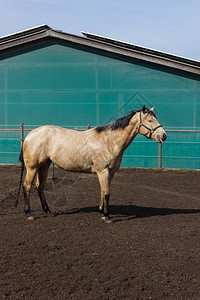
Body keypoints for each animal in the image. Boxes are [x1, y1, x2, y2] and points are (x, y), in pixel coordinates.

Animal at [14, 105, 166, 223]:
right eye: (150, 120)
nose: (163, 135)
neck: (108, 141)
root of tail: (29, 135)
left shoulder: (110, 172)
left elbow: (103, 191)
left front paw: (102, 212)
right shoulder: (103, 171)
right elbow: (106, 193)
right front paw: (107, 217)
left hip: (44, 165)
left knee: (39, 186)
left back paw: (48, 211)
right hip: (32, 167)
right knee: (27, 186)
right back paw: (29, 214)